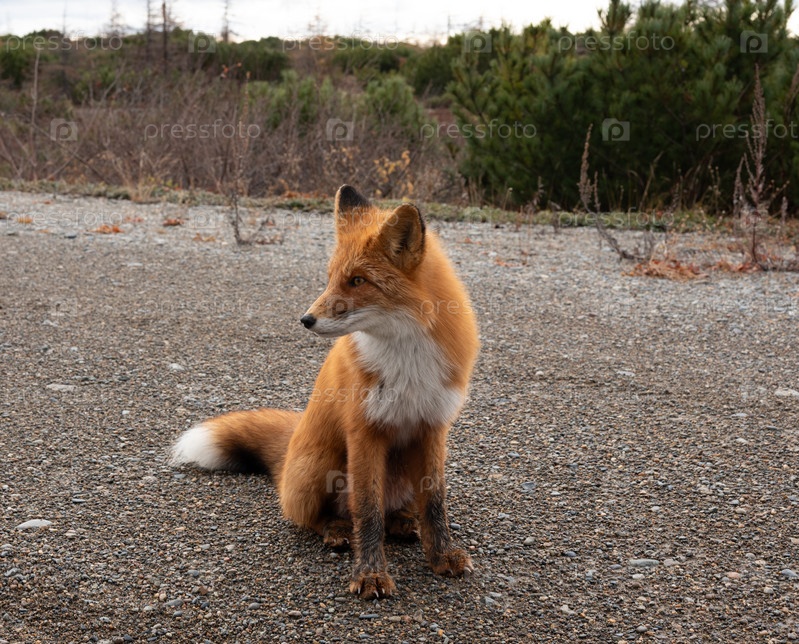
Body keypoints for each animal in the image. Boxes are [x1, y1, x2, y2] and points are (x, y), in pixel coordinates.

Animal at [170, 185, 480, 599]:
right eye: (331, 277)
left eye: (358, 280)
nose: (306, 319)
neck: (407, 356)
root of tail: (289, 451)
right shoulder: (363, 432)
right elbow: (367, 512)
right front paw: (370, 575)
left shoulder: (433, 427)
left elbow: (434, 503)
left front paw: (442, 555)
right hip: (321, 466)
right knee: (309, 515)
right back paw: (336, 530)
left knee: (394, 510)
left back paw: (401, 522)